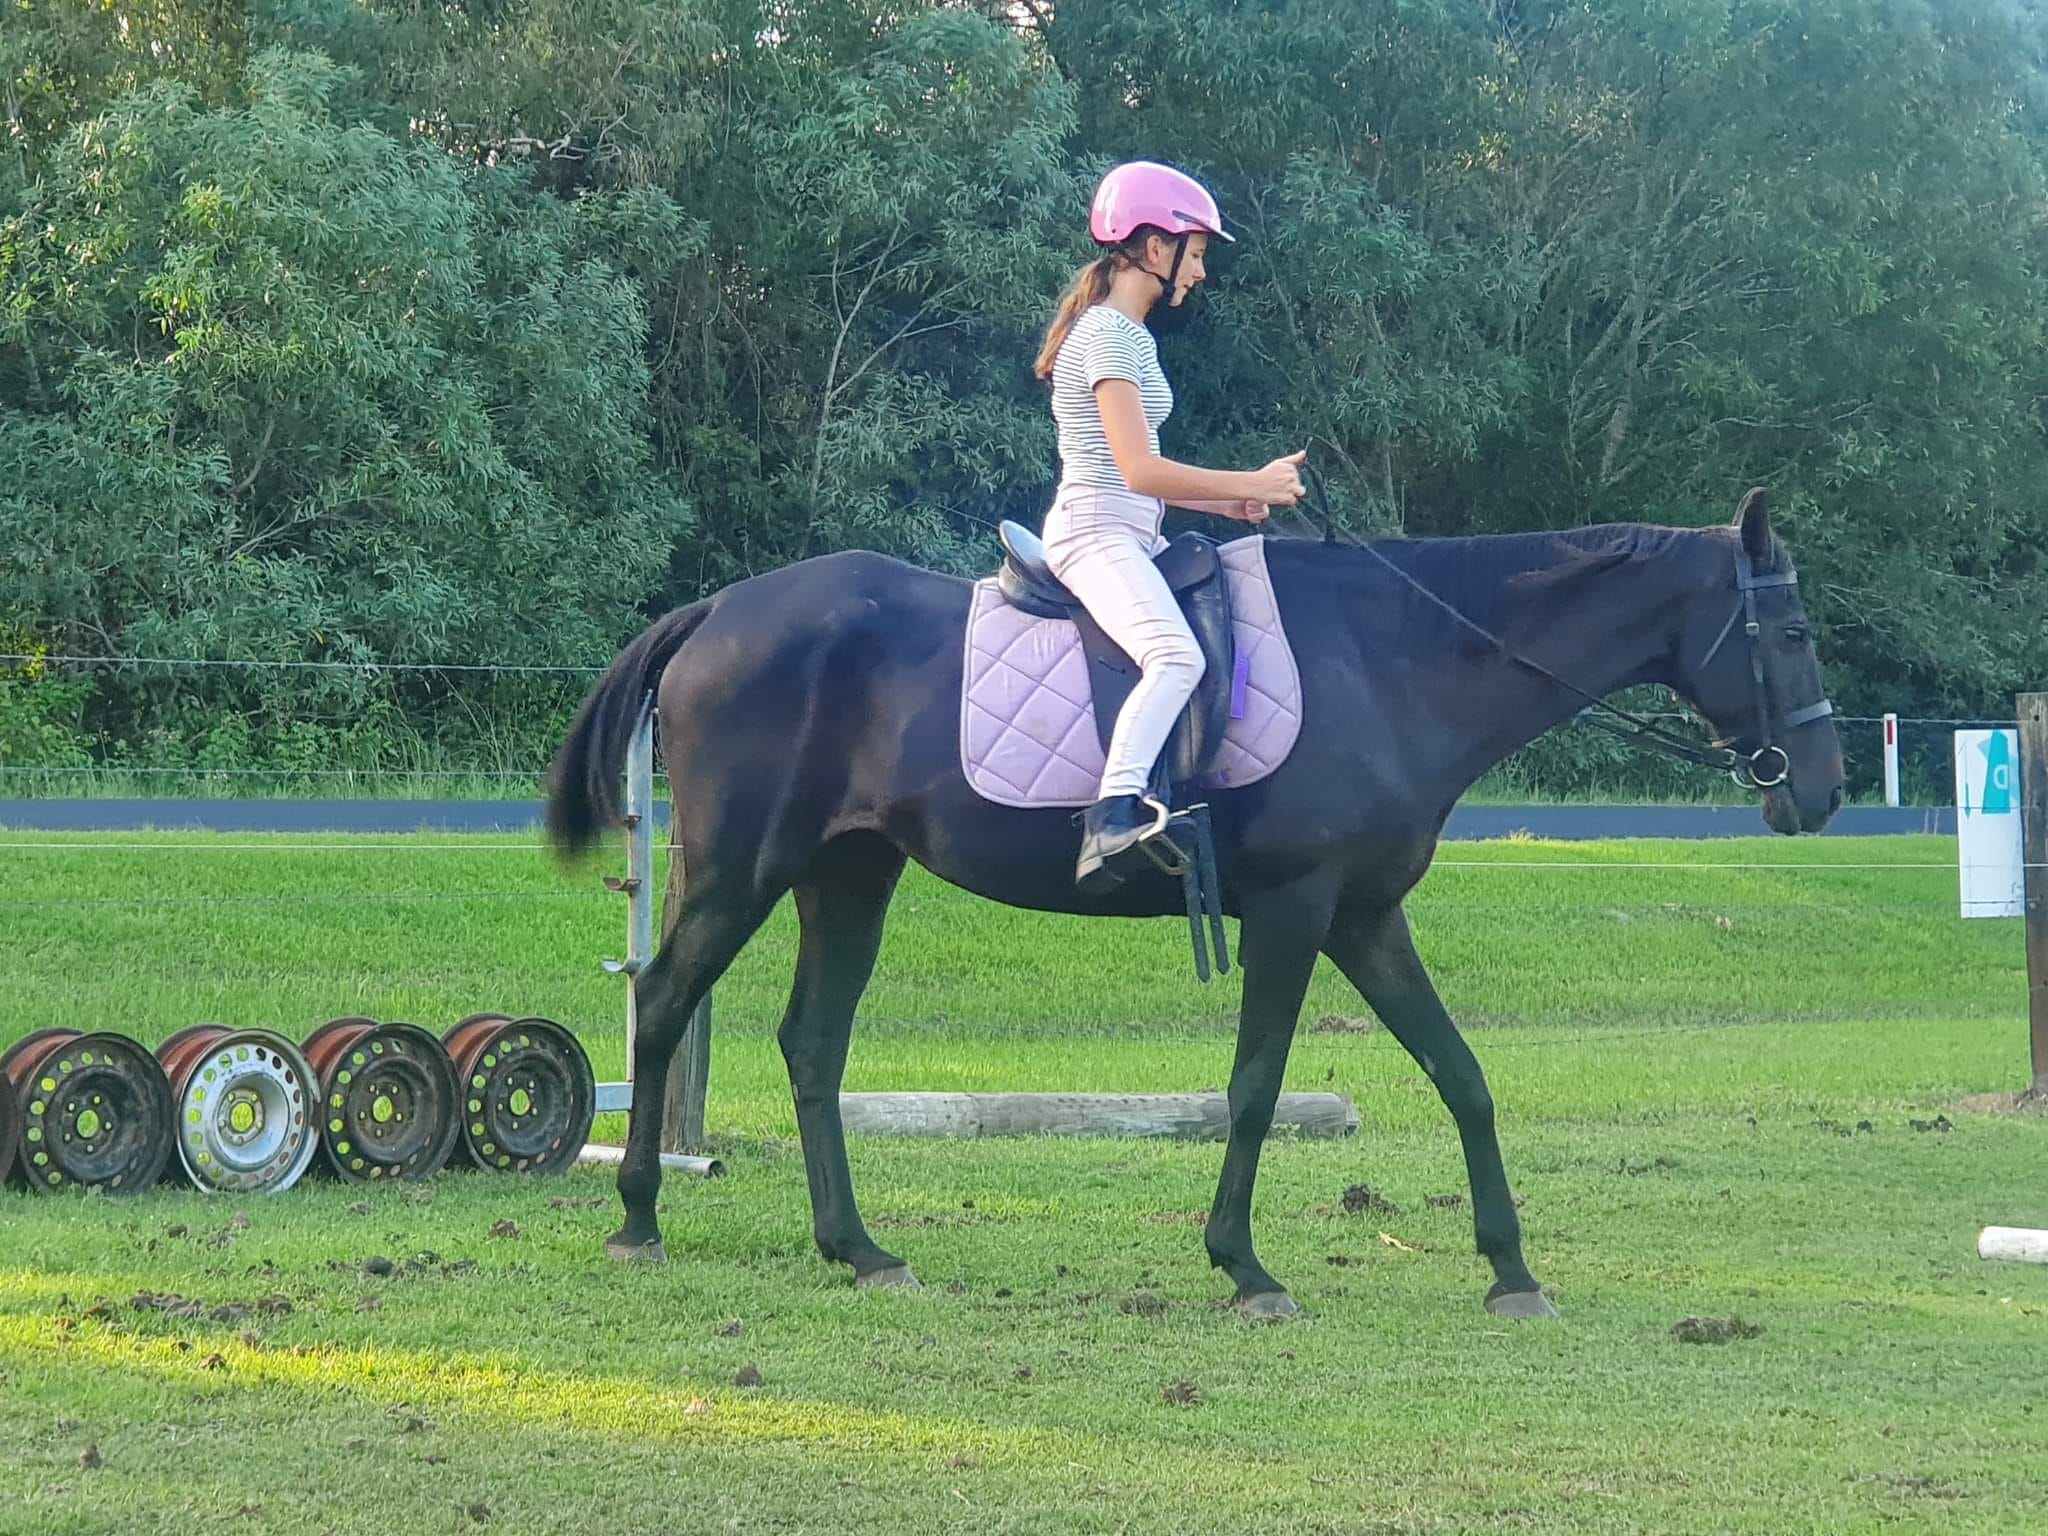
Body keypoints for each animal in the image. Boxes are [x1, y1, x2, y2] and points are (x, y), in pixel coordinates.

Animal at [544, 487, 1843, 1319]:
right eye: (1787, 630)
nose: (1823, 792)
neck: (1394, 656)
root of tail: (718, 612)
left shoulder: (1365, 917)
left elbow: (1459, 1073)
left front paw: (1509, 1270)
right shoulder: (1296, 910)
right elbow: (1254, 1086)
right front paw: (1245, 1269)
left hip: (847, 876)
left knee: (812, 1044)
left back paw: (857, 1251)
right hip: (741, 870)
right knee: (663, 1003)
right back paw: (638, 1219)